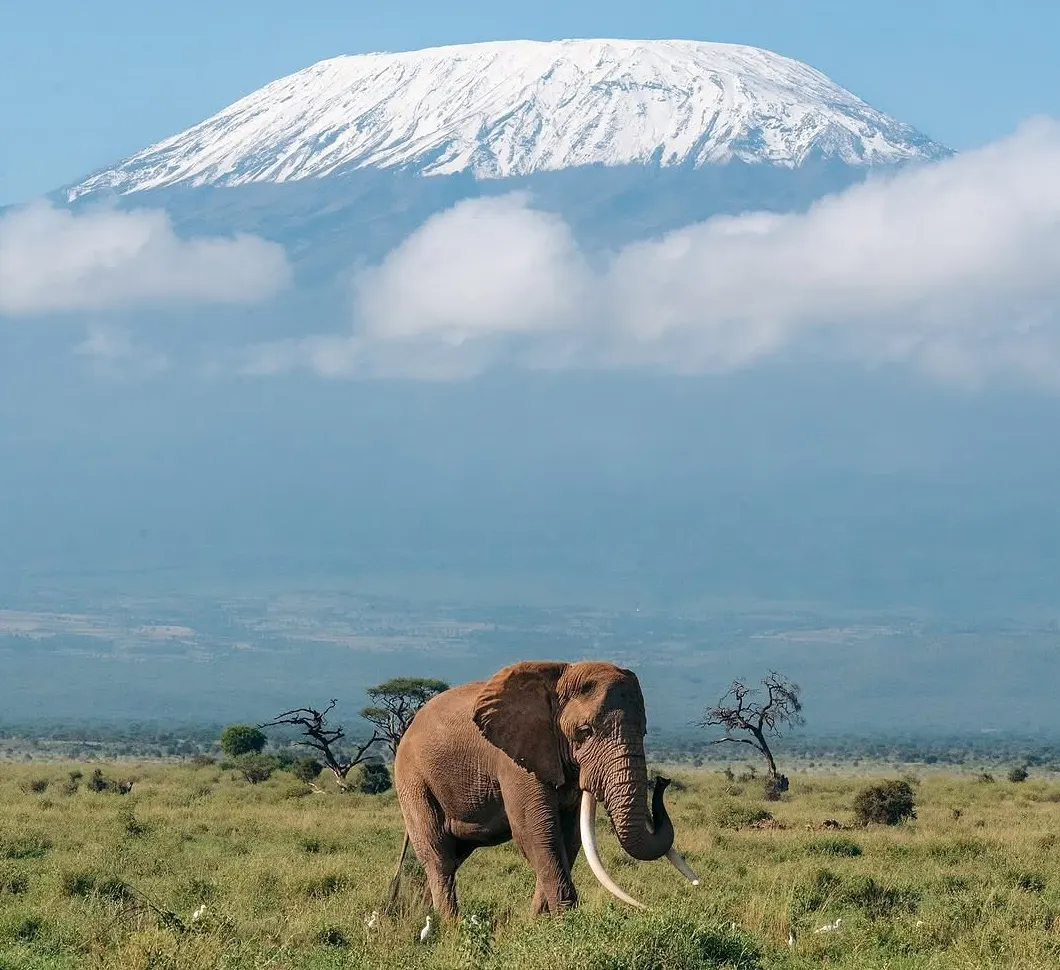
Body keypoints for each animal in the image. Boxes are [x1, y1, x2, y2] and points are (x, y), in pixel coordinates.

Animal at [391, 660, 699, 919]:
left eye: (644, 731)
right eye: (584, 732)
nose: (662, 782)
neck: (560, 676)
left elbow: (569, 837)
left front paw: (540, 923)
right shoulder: (514, 759)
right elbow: (537, 832)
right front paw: (566, 923)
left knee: (454, 855)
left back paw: (425, 918)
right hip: (412, 777)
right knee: (438, 854)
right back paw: (451, 927)